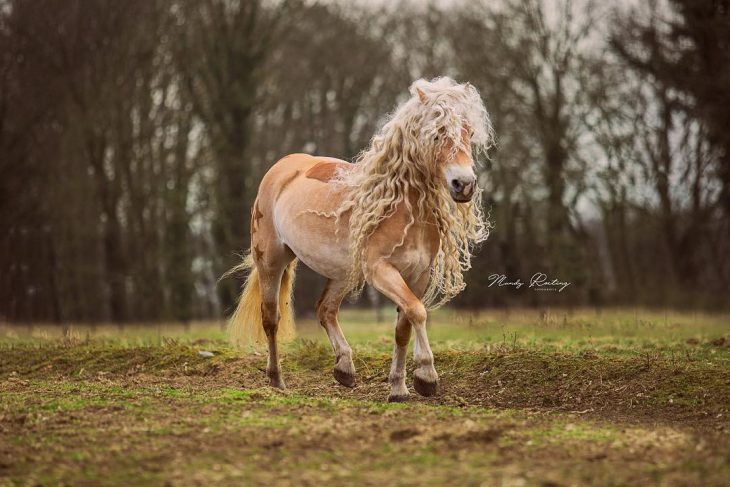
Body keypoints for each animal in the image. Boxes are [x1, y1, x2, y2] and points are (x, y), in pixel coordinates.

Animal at [225, 78, 492, 402]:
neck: (401, 207)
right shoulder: (381, 271)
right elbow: (417, 311)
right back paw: (277, 380)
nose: (463, 184)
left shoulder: (417, 276)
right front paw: (427, 377)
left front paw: (399, 388)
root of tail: (283, 167)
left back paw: (344, 369)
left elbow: (404, 325)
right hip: (271, 261)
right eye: (437, 132)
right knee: (271, 318)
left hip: (342, 273)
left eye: (469, 131)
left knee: (325, 309)